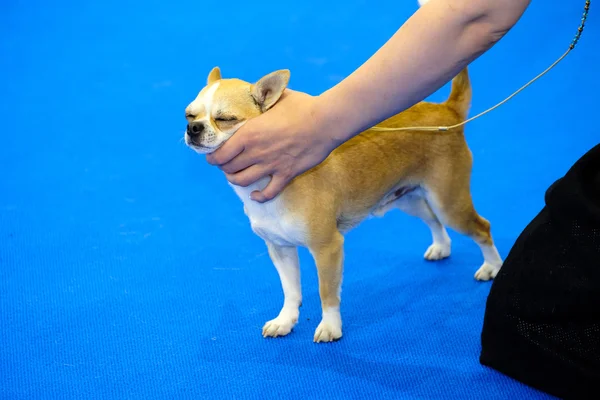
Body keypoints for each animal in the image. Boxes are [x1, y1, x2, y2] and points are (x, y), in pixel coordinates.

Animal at [183, 65, 502, 340]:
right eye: (189, 115)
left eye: (225, 119)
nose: (193, 129)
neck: (267, 184)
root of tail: (447, 111)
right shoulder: (280, 249)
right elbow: (291, 291)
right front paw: (285, 321)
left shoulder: (327, 249)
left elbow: (327, 293)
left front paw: (330, 327)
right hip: (409, 198)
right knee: (433, 219)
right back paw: (441, 248)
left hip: (449, 203)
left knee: (481, 228)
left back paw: (492, 267)